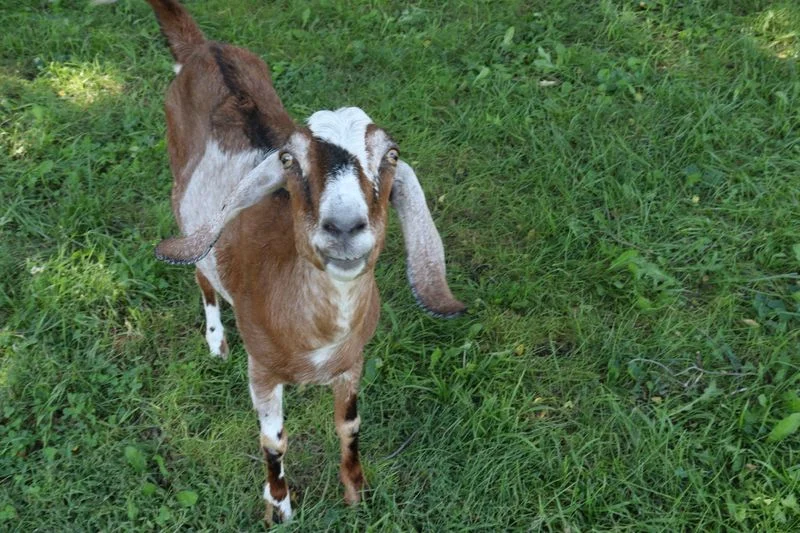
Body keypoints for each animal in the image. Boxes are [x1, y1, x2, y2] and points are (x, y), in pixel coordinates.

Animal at [146, 0, 465, 523]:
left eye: (391, 155)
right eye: (289, 160)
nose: (344, 226)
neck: (318, 331)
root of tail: (204, 49)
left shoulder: (353, 362)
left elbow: (349, 426)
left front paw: (356, 493)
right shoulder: (261, 369)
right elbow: (273, 440)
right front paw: (279, 506)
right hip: (180, 195)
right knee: (201, 271)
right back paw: (215, 338)